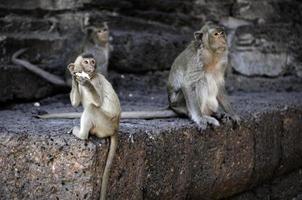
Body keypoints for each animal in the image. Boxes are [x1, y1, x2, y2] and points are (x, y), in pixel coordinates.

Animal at [68, 52, 121, 200]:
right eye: (86, 62)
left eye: (92, 62)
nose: (92, 67)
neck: (91, 76)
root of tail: (115, 127)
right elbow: (75, 103)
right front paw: (73, 76)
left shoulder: (96, 80)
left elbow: (97, 102)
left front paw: (85, 82)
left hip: (105, 124)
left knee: (92, 108)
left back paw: (81, 134)